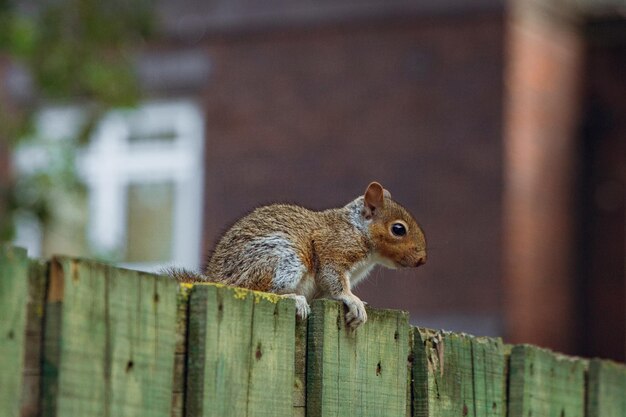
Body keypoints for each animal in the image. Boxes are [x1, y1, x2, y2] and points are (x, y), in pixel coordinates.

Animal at [171, 182, 424, 328]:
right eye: (398, 229)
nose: (422, 260)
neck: (357, 229)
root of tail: (218, 280)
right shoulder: (332, 250)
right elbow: (334, 280)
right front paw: (353, 300)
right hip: (283, 260)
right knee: (258, 290)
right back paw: (293, 298)